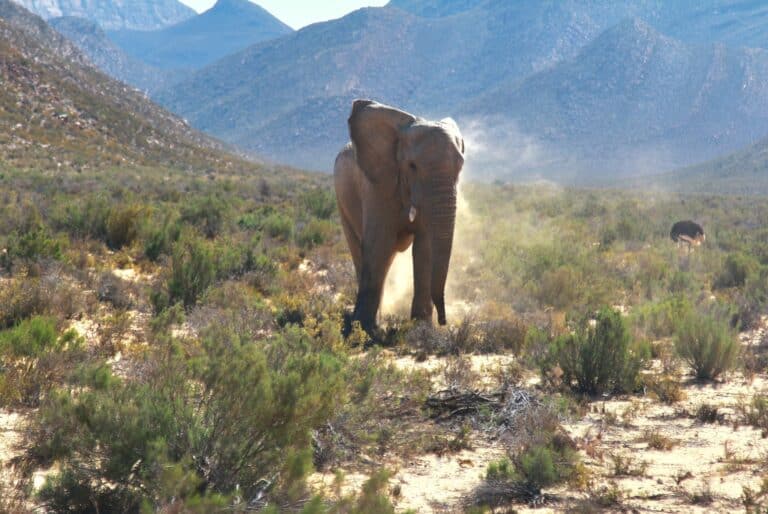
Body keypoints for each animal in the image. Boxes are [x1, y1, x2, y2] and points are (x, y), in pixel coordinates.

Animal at [332, 98, 464, 334]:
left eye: (461, 165)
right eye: (412, 166)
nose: (443, 321)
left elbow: (425, 248)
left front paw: (421, 330)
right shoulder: (378, 187)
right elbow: (379, 245)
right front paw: (365, 331)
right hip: (342, 199)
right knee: (363, 251)